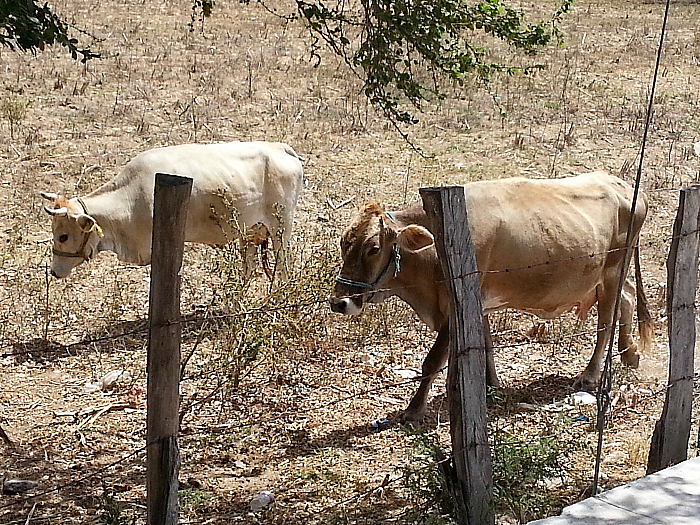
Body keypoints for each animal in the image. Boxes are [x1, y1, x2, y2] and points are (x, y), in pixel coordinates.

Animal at [40, 139, 304, 278]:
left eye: (63, 236)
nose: (53, 271)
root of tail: (280, 147)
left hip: (281, 229)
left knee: (283, 268)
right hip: (250, 233)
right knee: (249, 269)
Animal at [330, 172, 652, 426]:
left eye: (373, 248)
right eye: (344, 242)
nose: (339, 302)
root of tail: (620, 183)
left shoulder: (454, 311)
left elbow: (432, 362)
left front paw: (413, 410)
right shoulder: (478, 303)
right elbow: (484, 347)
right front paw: (490, 386)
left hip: (612, 271)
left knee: (606, 322)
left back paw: (590, 374)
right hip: (610, 276)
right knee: (628, 298)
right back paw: (629, 353)